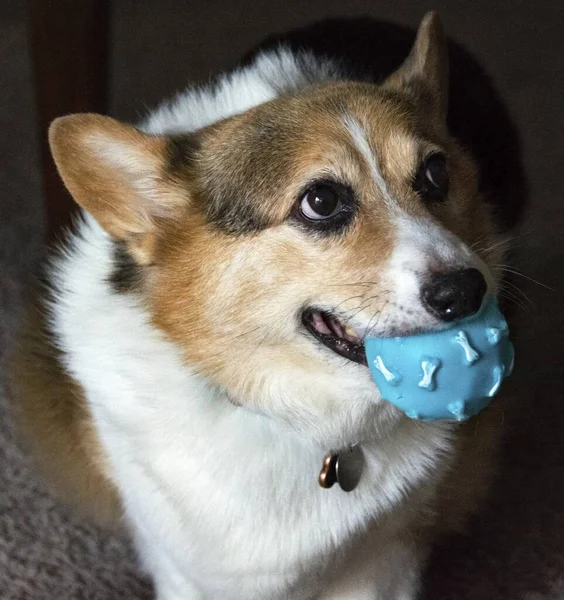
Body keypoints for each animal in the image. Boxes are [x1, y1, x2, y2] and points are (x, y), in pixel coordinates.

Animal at [8, 10, 512, 600]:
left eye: (436, 174)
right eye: (321, 201)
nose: (466, 291)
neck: (288, 411)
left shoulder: (386, 559)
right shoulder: (181, 569)